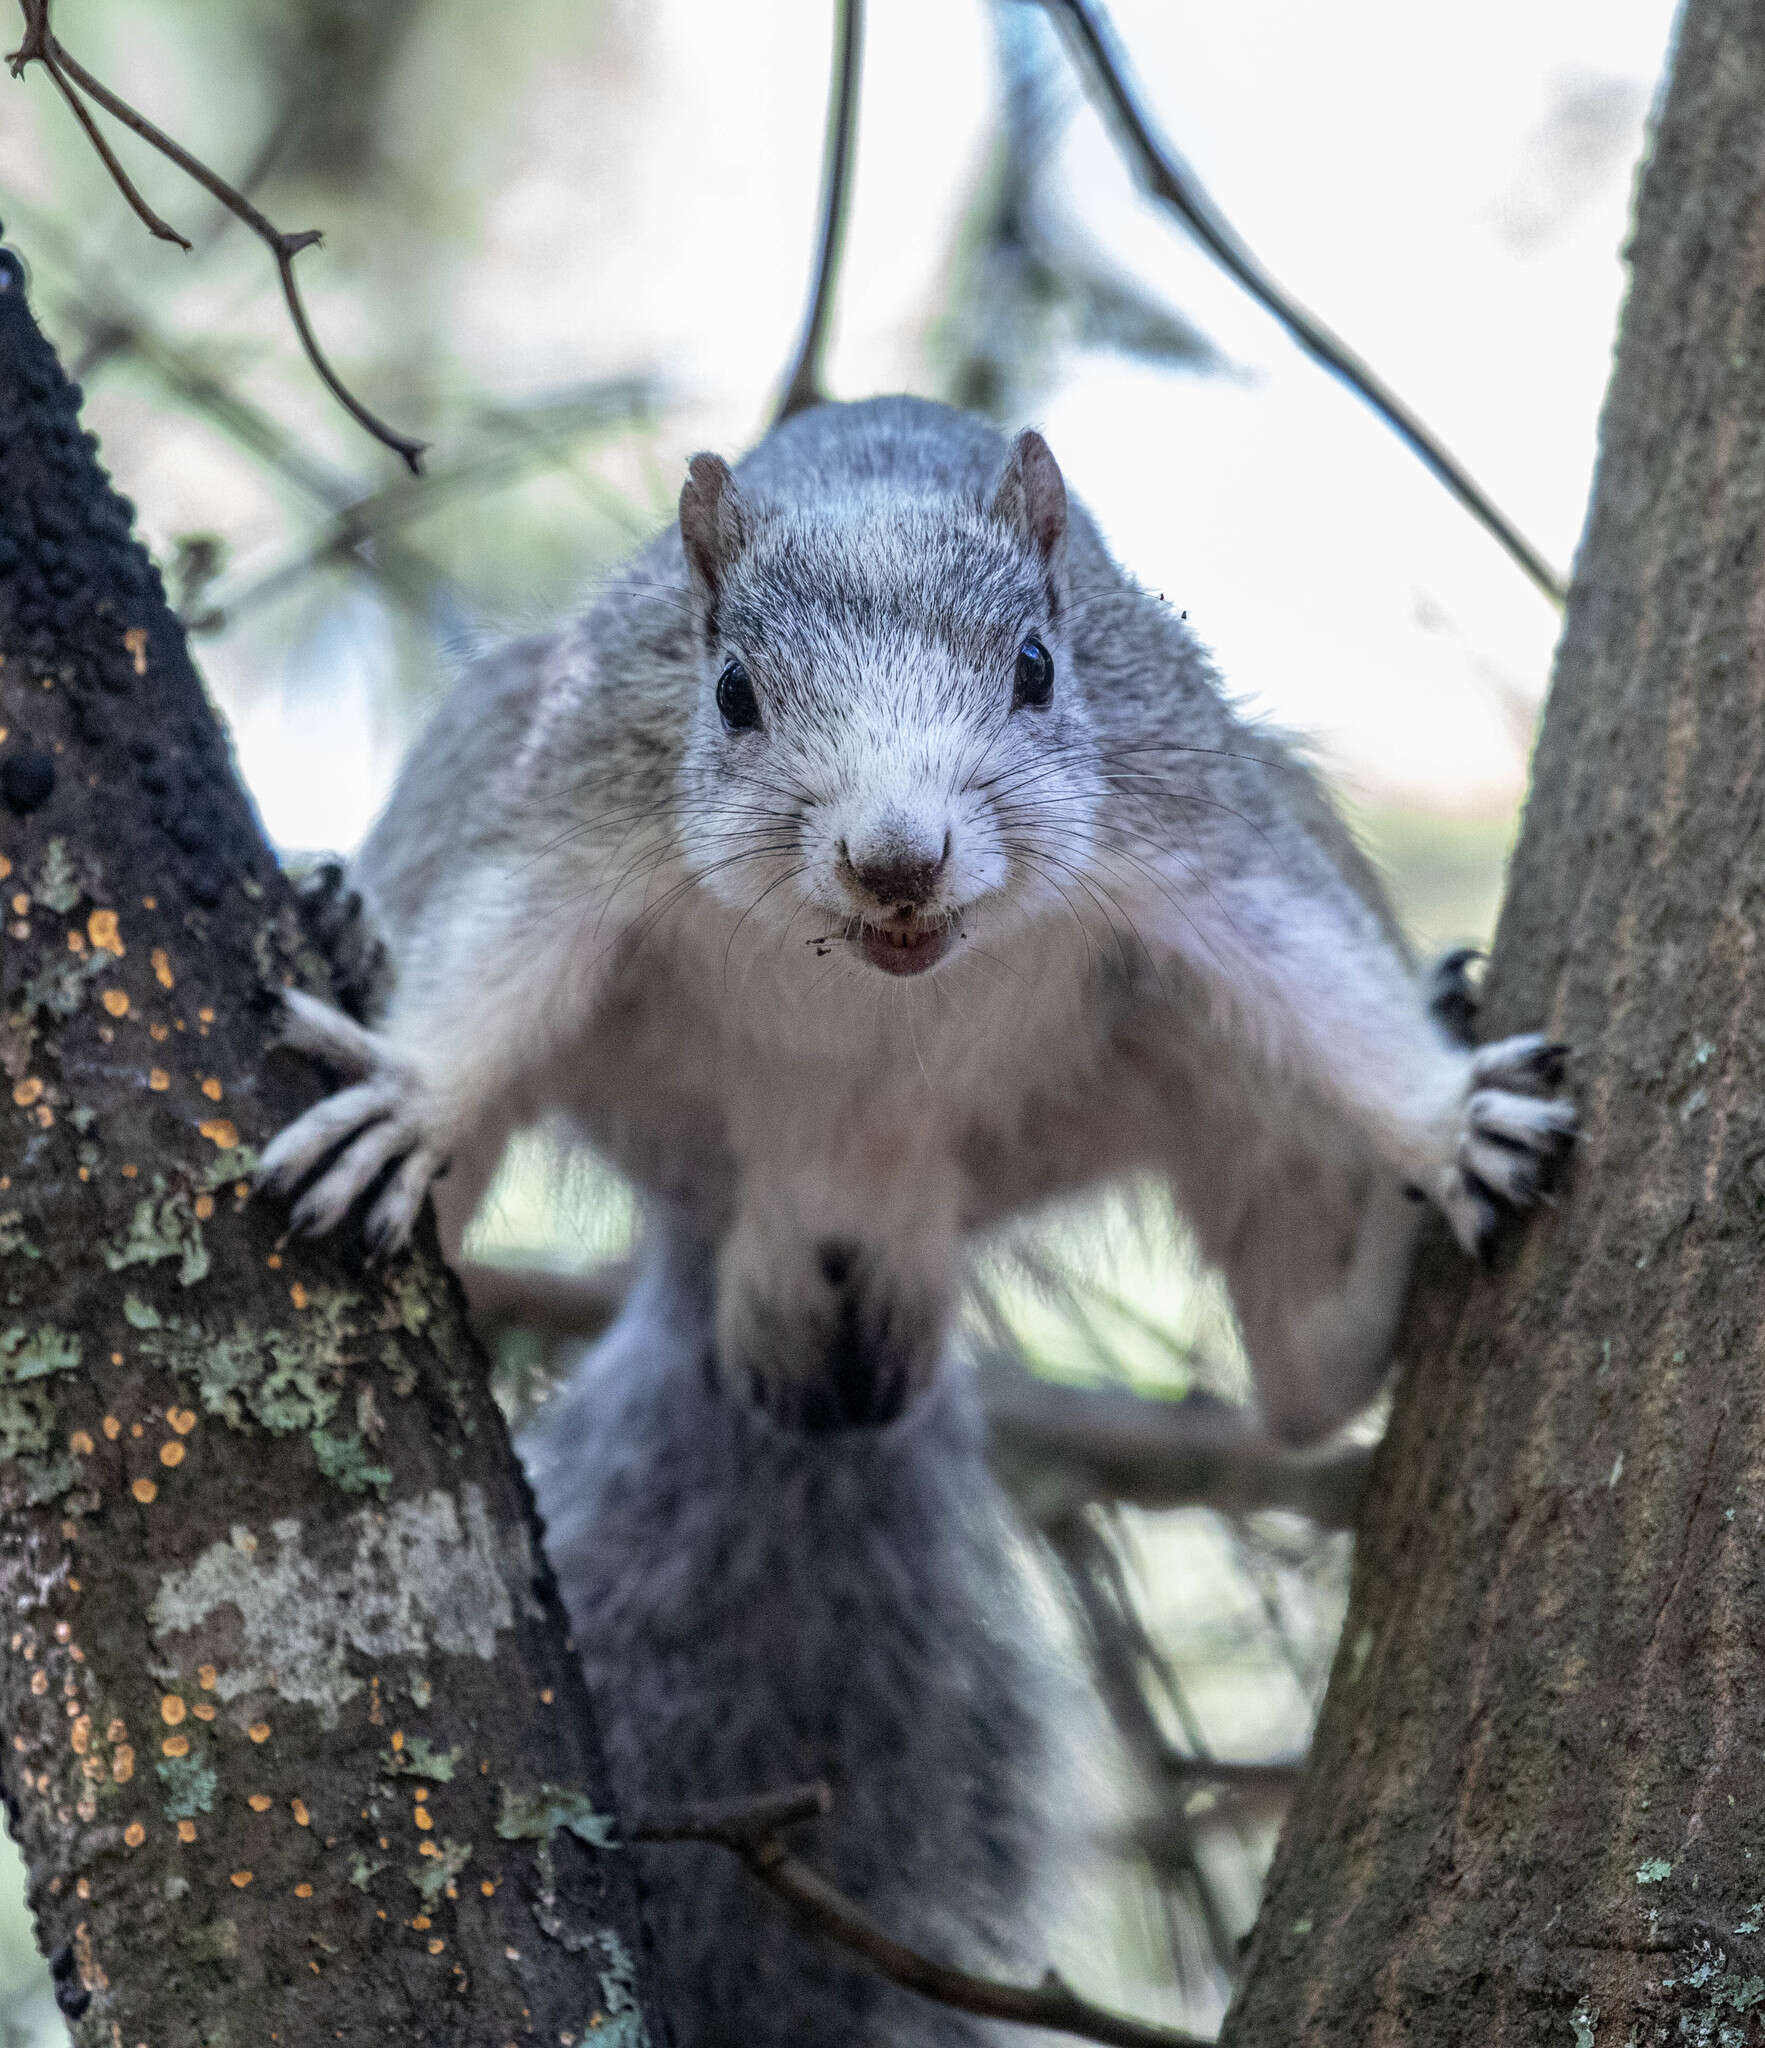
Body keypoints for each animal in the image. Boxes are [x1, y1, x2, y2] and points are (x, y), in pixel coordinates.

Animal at [262, 391, 1572, 1449]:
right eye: (730, 693)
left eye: (1038, 666)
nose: (896, 861)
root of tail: (844, 1208)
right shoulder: (588, 783)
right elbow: (505, 927)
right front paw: (408, 1095)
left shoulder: (1188, 795)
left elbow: (1308, 958)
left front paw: (1445, 1121)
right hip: (494, 739)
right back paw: (347, 919)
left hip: (1203, 1077)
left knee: (1303, 1387)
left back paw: (1377, 1250)